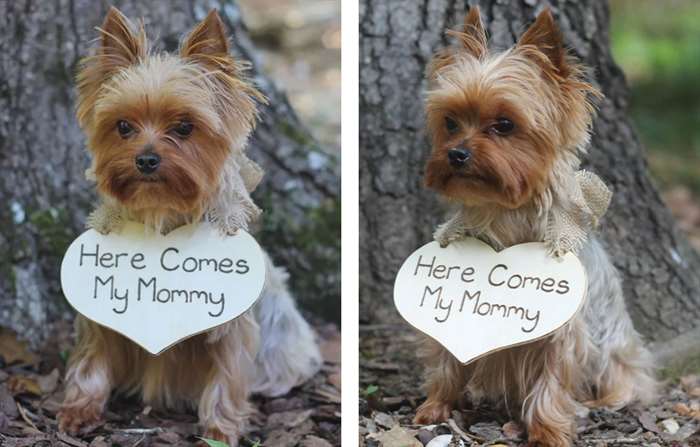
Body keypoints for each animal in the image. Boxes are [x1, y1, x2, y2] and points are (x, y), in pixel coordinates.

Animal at [58, 7, 322, 447]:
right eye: (123, 126)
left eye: (184, 127)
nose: (146, 159)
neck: (161, 216)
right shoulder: (100, 313)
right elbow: (92, 358)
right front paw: (79, 411)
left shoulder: (230, 326)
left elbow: (227, 379)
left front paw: (220, 430)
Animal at [412, 6, 660, 444]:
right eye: (451, 122)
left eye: (505, 124)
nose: (456, 154)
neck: (504, 213)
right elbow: (445, 359)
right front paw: (435, 406)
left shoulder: (561, 330)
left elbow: (552, 381)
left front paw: (548, 431)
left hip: (616, 349)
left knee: (630, 377)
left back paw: (605, 401)